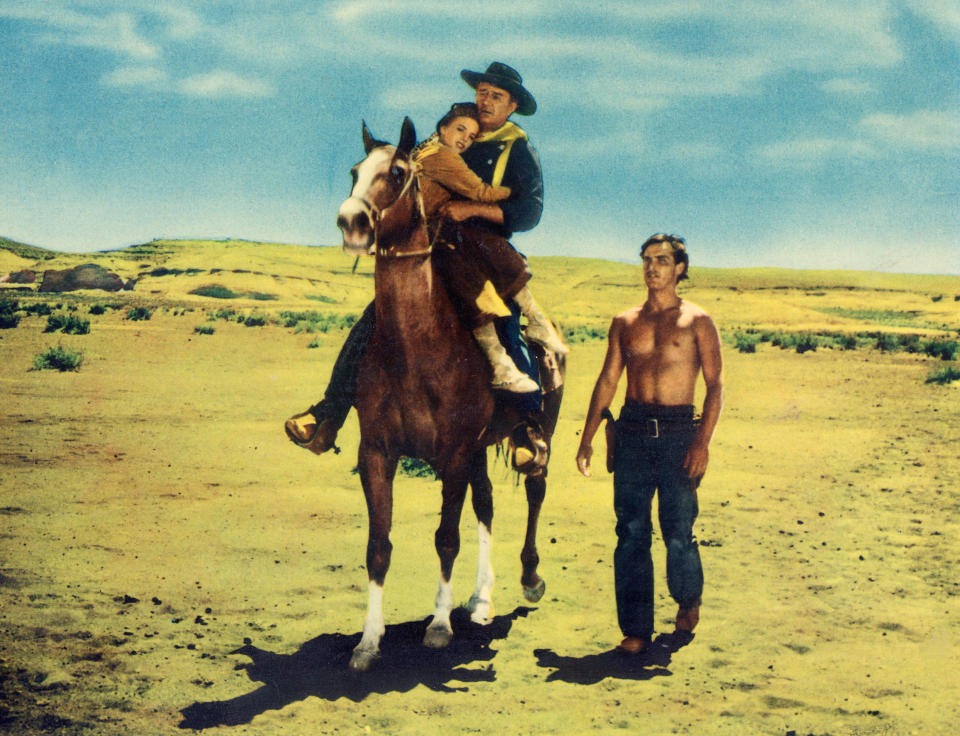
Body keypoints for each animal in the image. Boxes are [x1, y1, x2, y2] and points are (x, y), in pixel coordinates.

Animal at [338, 118, 564, 668]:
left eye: (398, 173)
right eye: (355, 171)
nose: (351, 222)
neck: (416, 350)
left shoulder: (455, 454)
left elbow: (446, 538)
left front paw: (438, 627)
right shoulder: (378, 452)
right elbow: (379, 546)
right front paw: (368, 641)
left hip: (539, 434)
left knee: (535, 490)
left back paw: (530, 578)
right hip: (482, 448)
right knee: (487, 505)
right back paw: (480, 600)